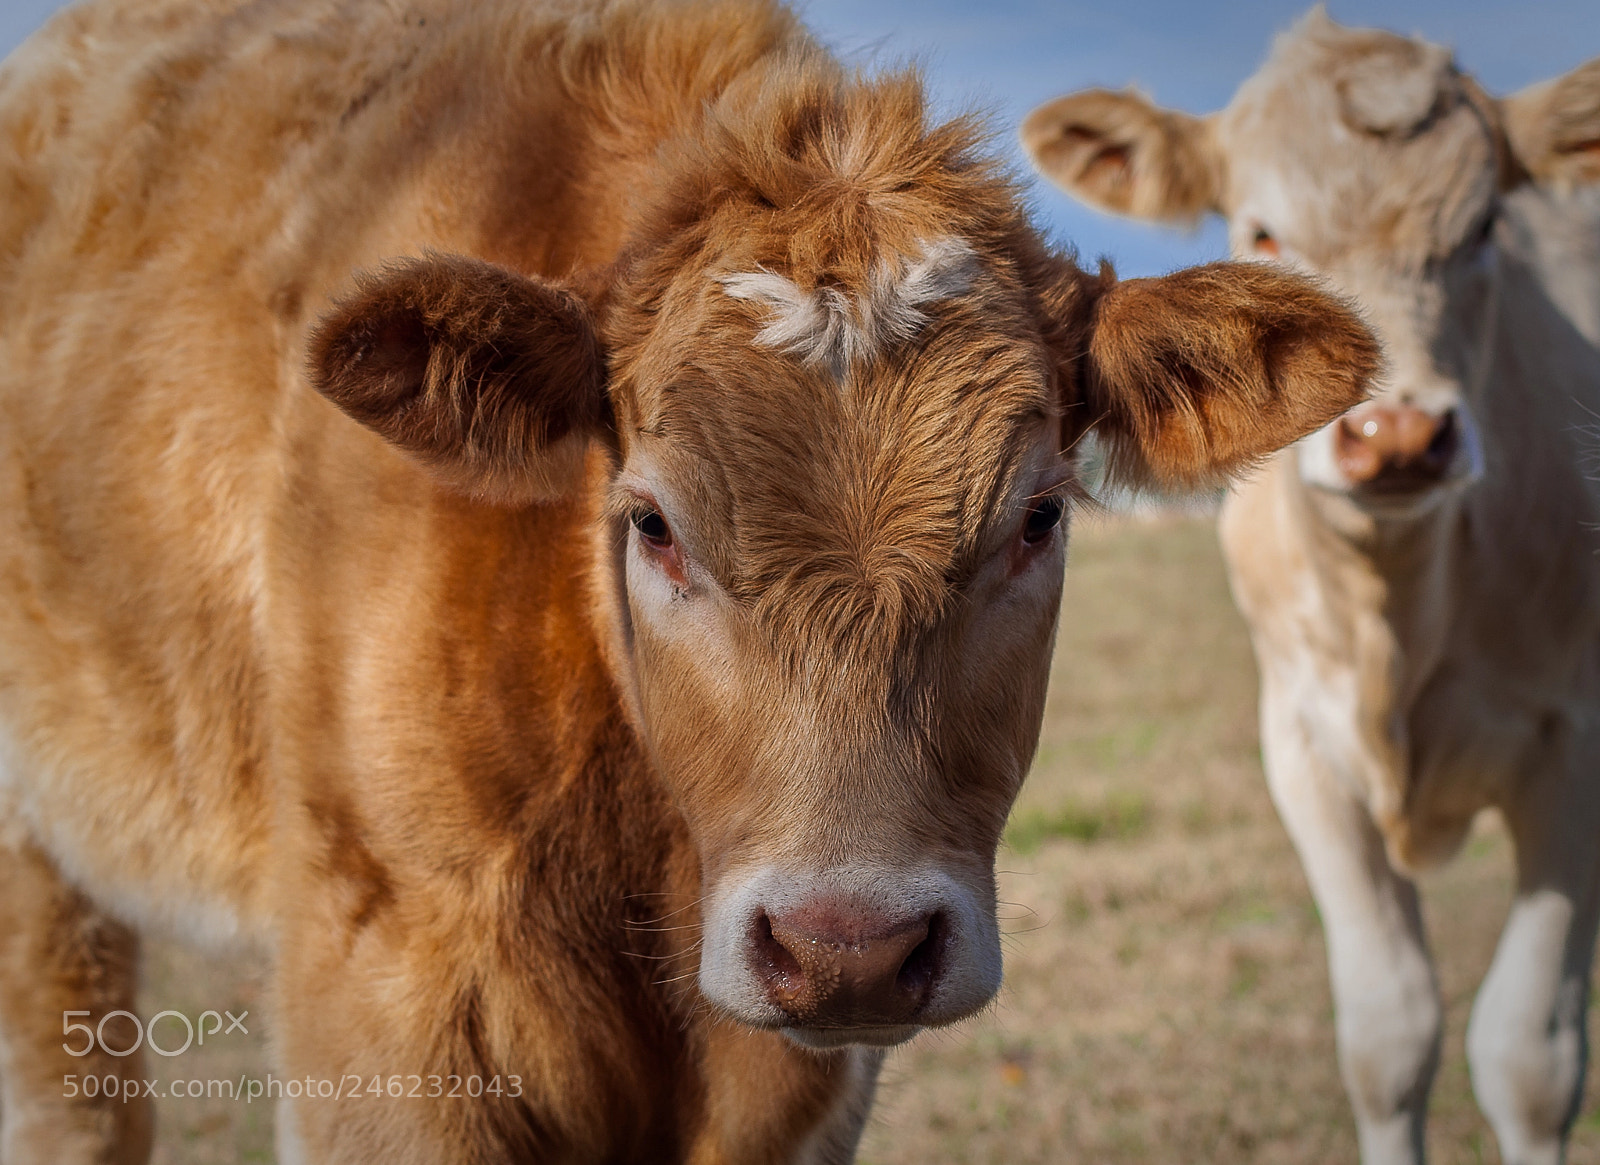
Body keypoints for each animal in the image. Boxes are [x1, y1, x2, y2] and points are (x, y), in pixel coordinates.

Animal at [1024, 10, 1600, 1165]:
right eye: (1260, 231)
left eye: (1483, 230)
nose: (1398, 433)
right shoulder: (1300, 743)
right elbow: (1389, 1034)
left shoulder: (1578, 742)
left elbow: (1529, 1057)